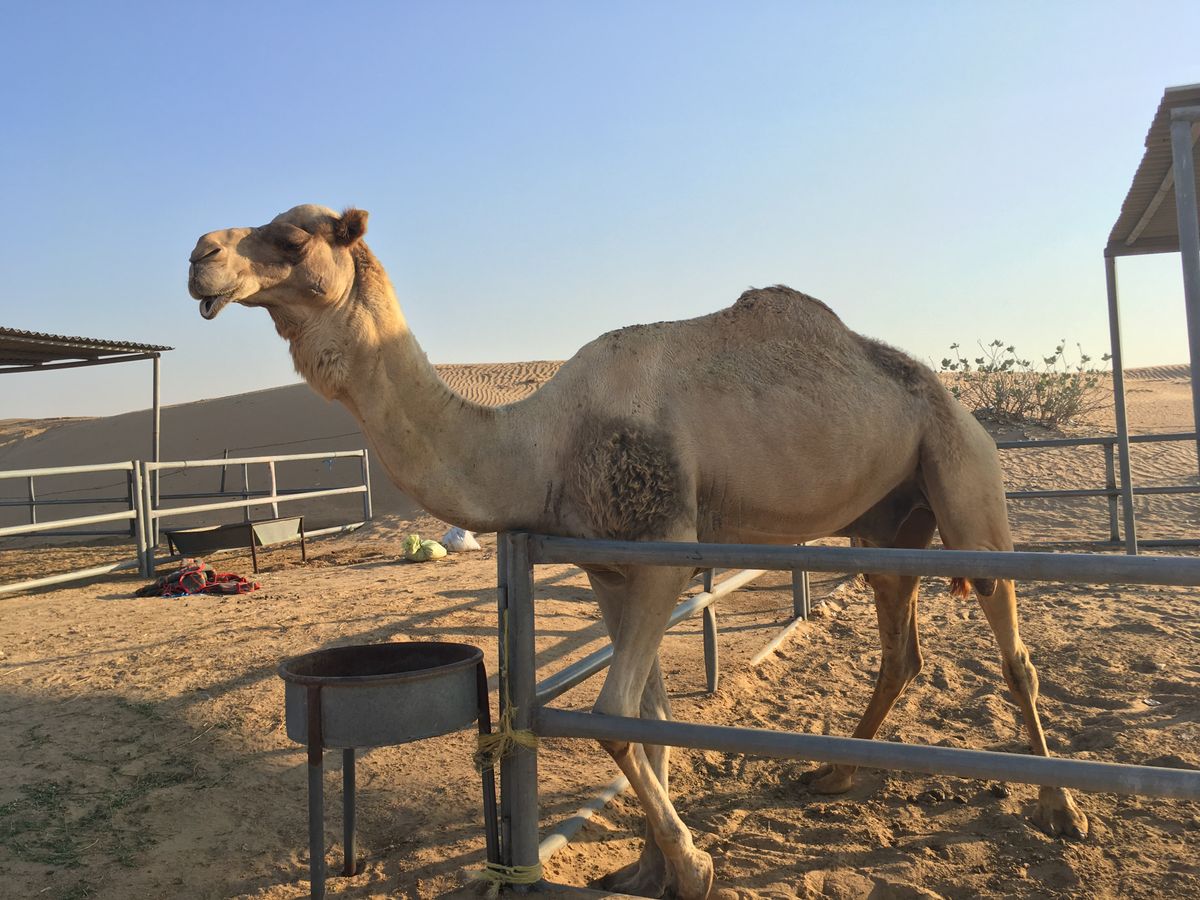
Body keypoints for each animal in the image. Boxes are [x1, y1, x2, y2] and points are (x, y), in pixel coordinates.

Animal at [188, 205, 1088, 899]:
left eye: (291, 238)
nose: (200, 256)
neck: (538, 446)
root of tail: (953, 398)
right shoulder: (610, 570)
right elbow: (648, 720)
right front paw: (646, 869)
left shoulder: (663, 552)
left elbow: (614, 716)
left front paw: (692, 867)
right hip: (885, 523)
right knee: (899, 643)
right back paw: (834, 772)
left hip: (964, 474)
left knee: (1012, 645)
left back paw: (1062, 810)